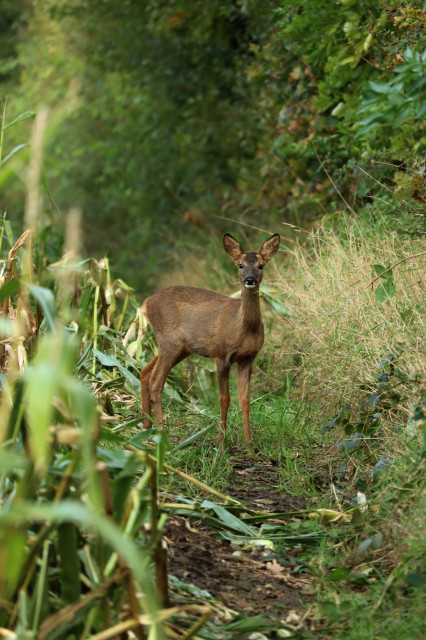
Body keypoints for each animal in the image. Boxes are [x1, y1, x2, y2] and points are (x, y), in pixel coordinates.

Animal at [140, 232, 280, 448]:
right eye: (240, 265)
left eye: (261, 265)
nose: (249, 280)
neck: (241, 329)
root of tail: (146, 303)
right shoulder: (221, 354)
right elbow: (224, 399)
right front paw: (221, 444)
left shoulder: (248, 358)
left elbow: (245, 400)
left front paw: (250, 446)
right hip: (169, 341)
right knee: (156, 381)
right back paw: (163, 436)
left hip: (180, 347)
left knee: (145, 371)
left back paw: (147, 428)